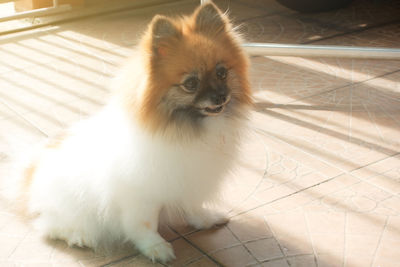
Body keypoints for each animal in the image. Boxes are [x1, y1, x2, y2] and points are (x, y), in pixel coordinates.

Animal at [11, 0, 250, 264]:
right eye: (190, 84)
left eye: (222, 72)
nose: (221, 96)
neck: (184, 128)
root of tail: (32, 170)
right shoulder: (141, 195)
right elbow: (145, 225)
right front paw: (156, 248)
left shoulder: (189, 179)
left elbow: (192, 206)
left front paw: (204, 220)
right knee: (48, 226)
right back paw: (79, 236)